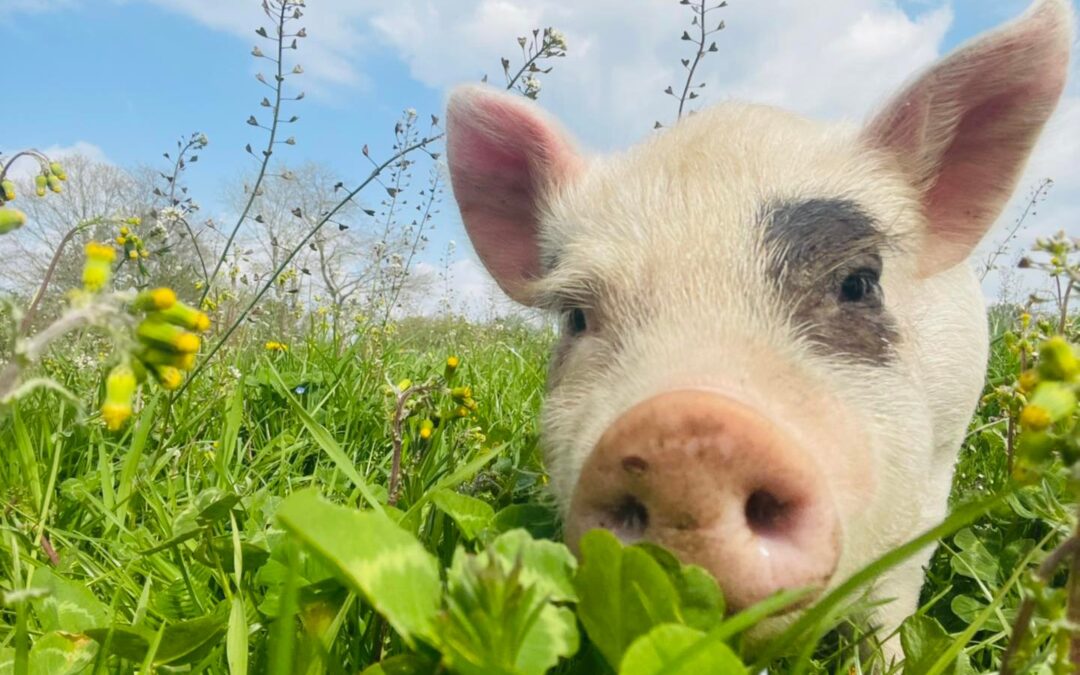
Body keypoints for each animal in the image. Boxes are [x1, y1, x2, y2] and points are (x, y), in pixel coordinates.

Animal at [444, 0, 1071, 656]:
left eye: (857, 283)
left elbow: (894, 596)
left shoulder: (932, 476)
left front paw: (889, 658)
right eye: (576, 316)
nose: (685, 437)